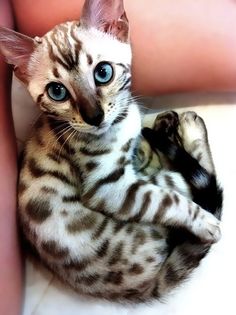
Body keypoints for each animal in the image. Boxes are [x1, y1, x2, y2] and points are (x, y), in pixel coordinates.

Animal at [0, 0, 221, 304]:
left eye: (103, 73)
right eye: (57, 91)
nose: (94, 117)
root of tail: (145, 288)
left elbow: (142, 133)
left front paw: (155, 127)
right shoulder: (108, 188)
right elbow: (167, 200)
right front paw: (203, 221)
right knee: (191, 180)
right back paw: (190, 131)